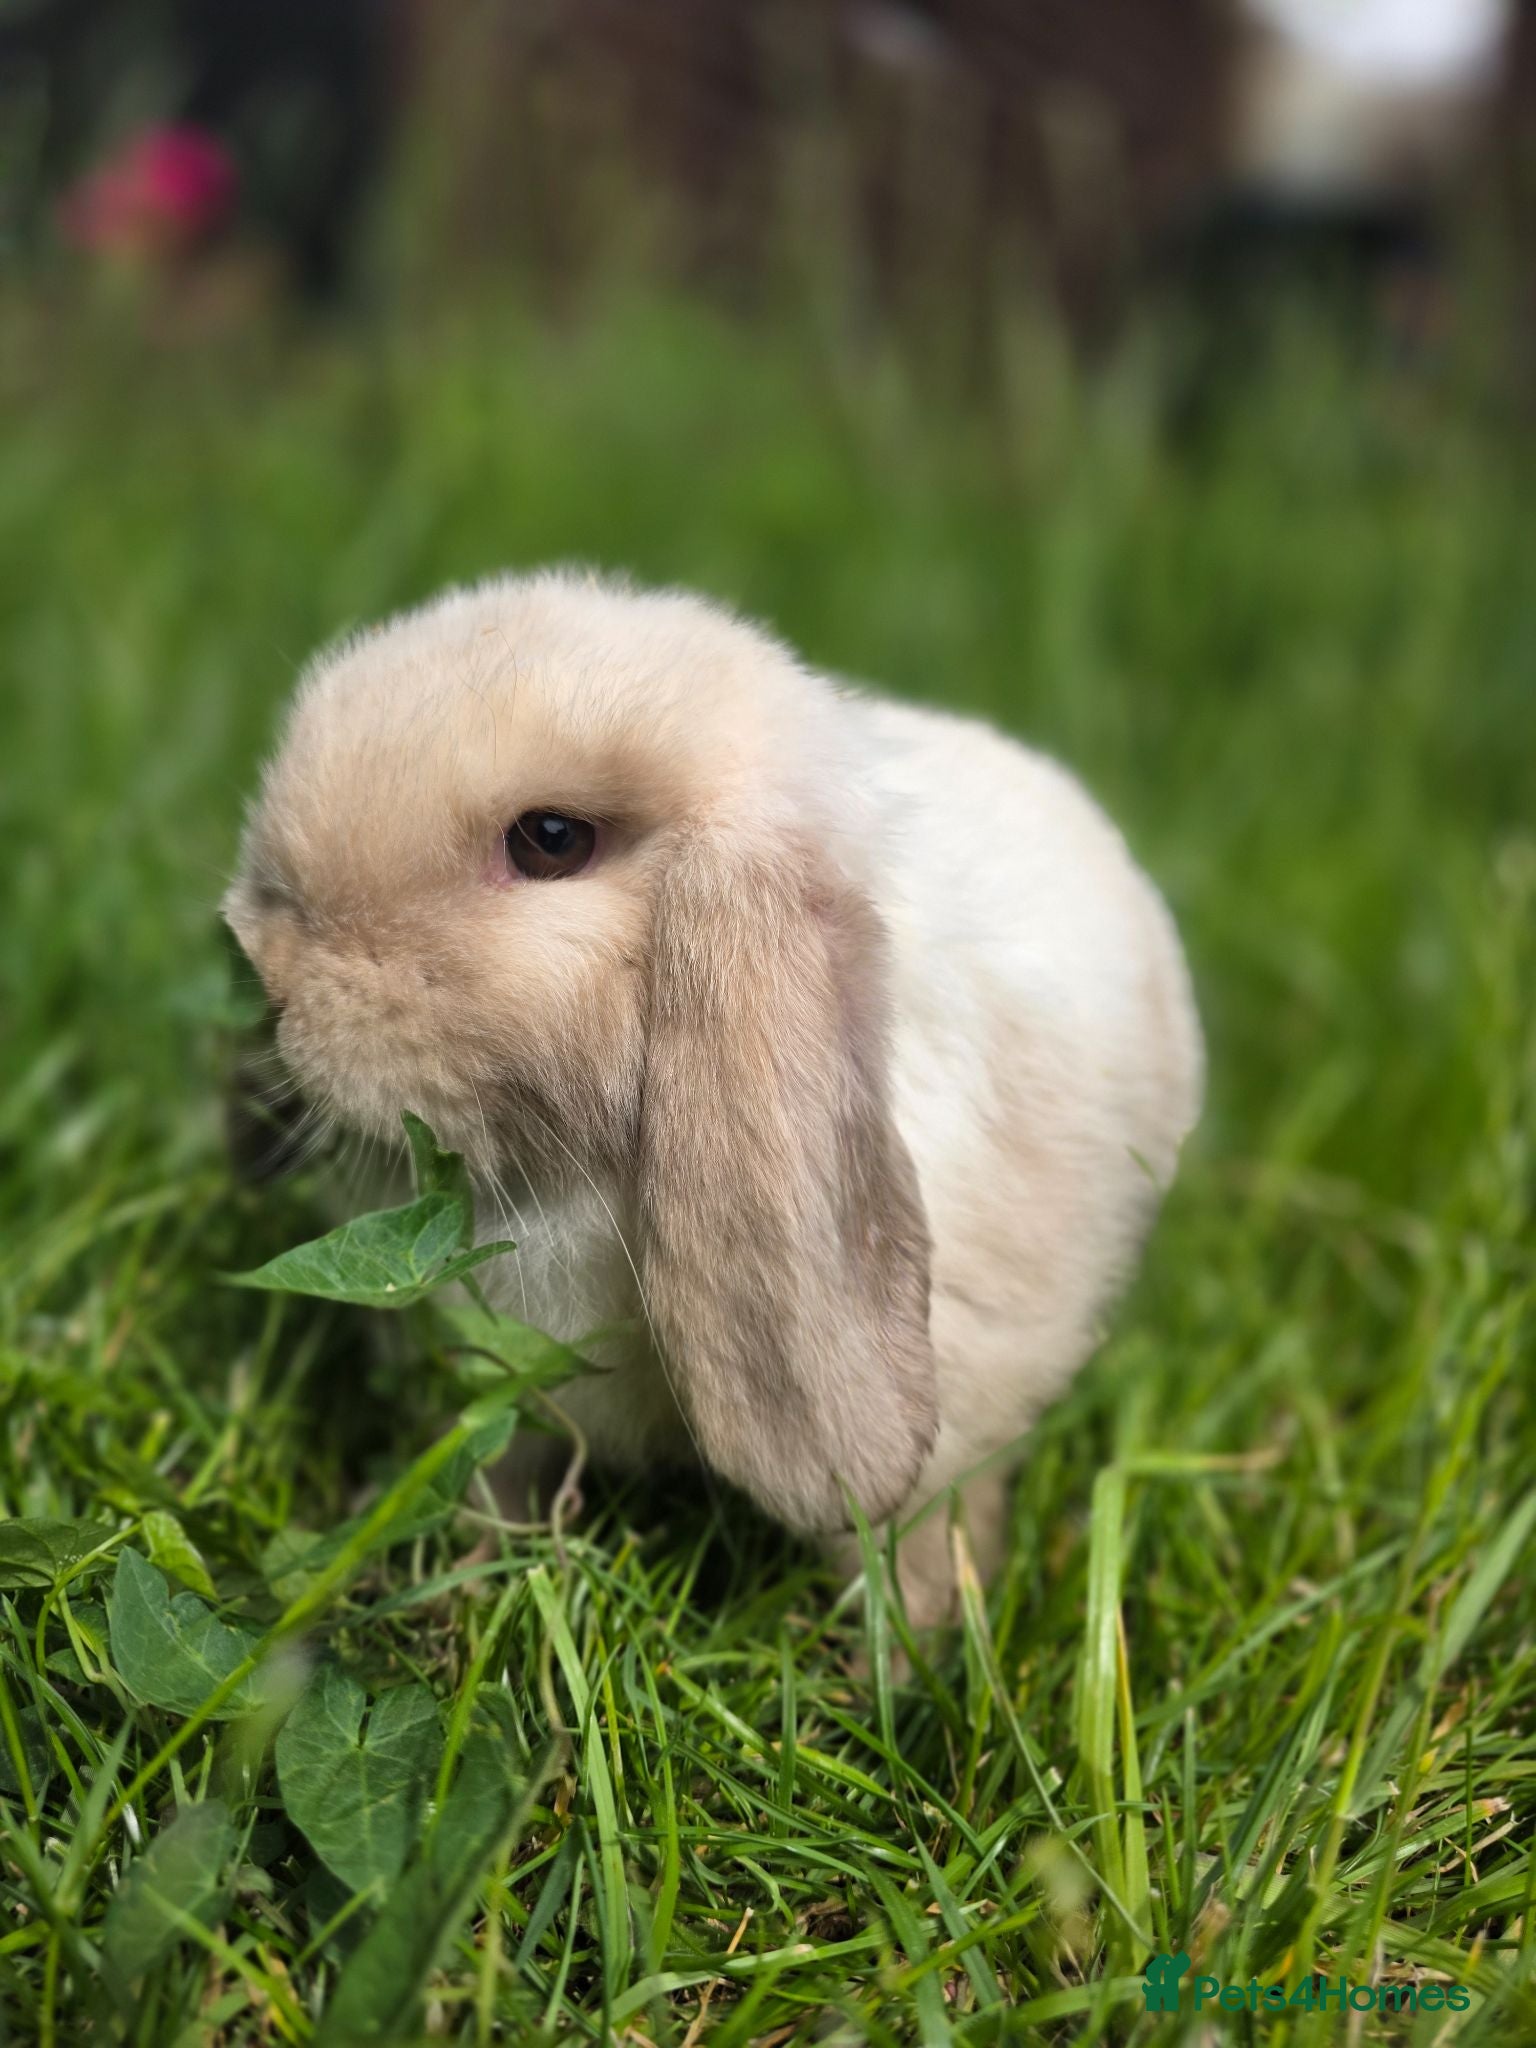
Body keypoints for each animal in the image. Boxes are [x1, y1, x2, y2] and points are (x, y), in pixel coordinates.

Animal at [223, 568, 1202, 1626]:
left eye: (551, 839)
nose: (266, 971)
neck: (579, 1186)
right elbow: (490, 1479)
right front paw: (456, 1584)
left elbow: (912, 1551)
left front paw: (902, 1655)